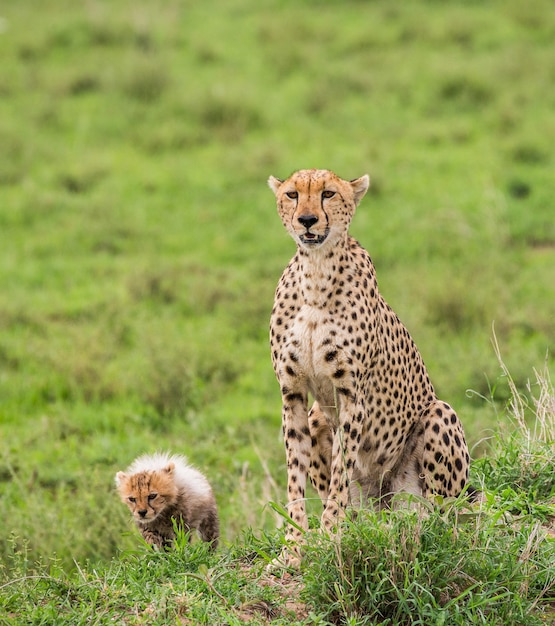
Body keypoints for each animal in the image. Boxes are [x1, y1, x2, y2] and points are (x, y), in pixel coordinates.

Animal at [268, 168, 472, 564]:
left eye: (328, 194)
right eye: (292, 194)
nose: (307, 220)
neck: (316, 273)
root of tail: (384, 502)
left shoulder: (351, 396)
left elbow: (339, 473)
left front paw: (329, 535)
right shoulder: (293, 393)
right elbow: (295, 476)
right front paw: (294, 544)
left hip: (438, 418)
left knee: (442, 517)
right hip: (319, 418)